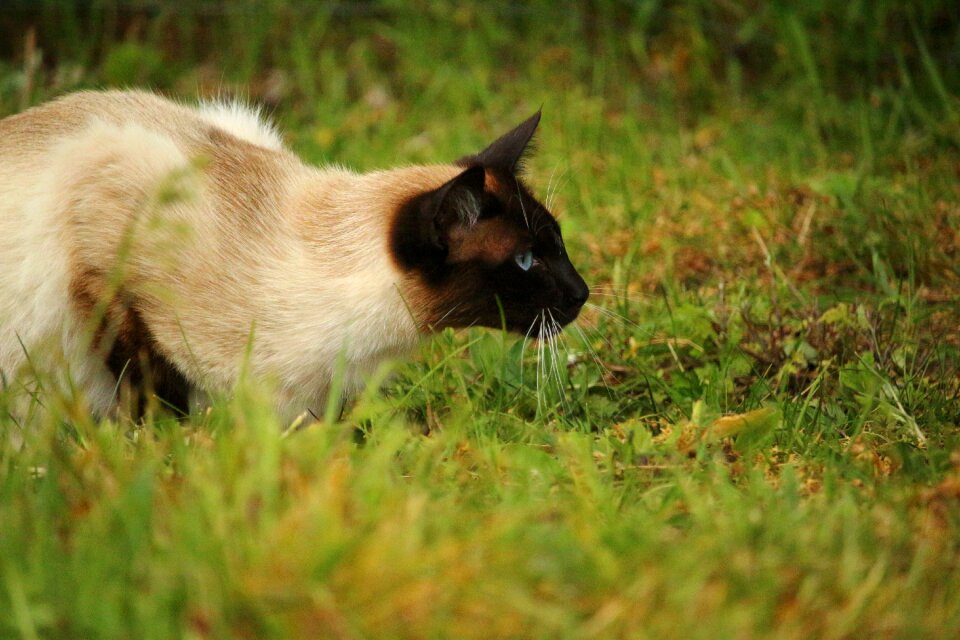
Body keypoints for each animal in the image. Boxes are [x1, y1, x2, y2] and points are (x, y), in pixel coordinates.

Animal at [0, 91, 588, 420]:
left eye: (558, 245)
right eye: (526, 261)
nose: (583, 294)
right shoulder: (108, 258)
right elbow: (154, 392)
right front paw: (171, 456)